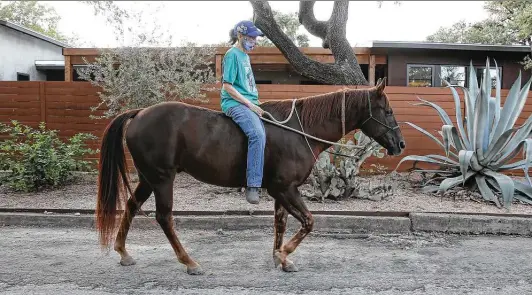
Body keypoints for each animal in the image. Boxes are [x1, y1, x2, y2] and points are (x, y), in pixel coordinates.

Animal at [95, 78, 406, 276]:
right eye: (388, 110)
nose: (400, 144)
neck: (299, 130)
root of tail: (139, 113)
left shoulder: (282, 191)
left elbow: (281, 224)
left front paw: (281, 260)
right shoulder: (285, 189)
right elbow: (308, 222)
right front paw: (283, 254)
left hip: (149, 178)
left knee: (132, 206)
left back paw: (123, 252)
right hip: (162, 179)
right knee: (164, 217)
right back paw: (189, 262)